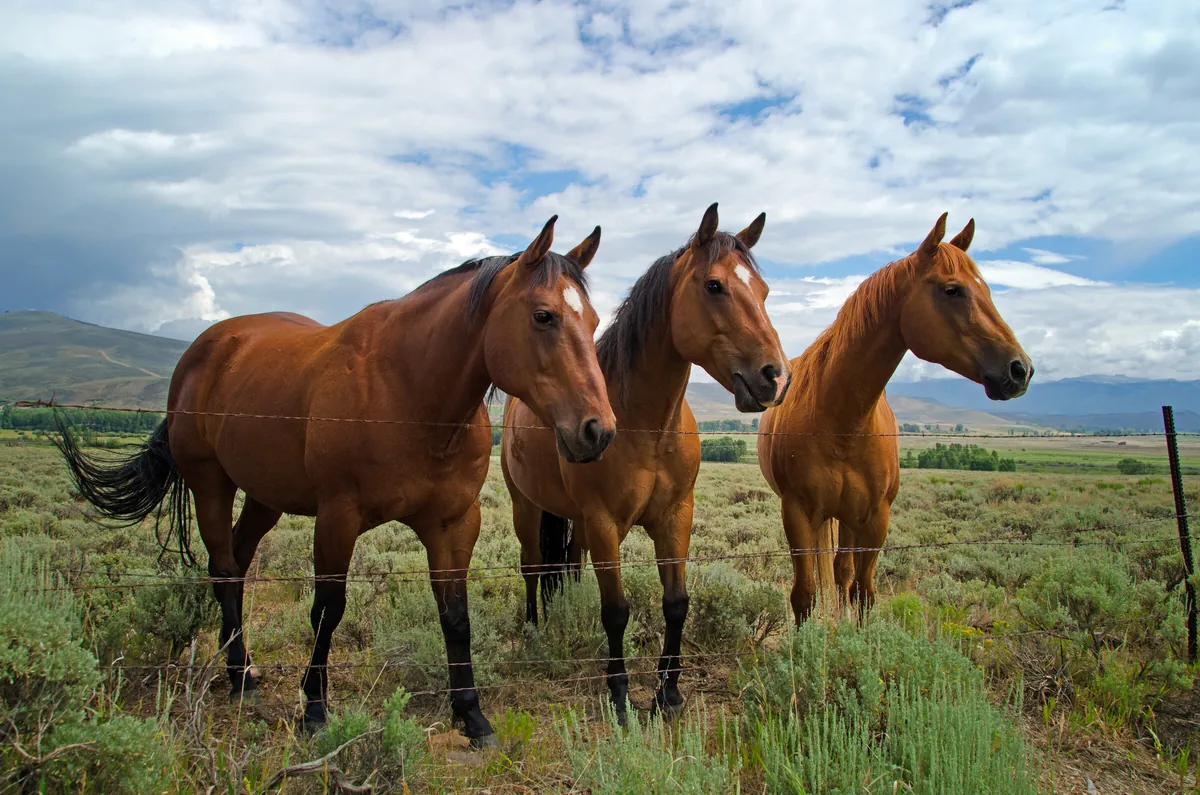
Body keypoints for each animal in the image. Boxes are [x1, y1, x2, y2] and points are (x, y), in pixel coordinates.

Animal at [54, 216, 617, 748]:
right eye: (543, 316)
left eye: (592, 321)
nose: (598, 430)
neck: (411, 392)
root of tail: (206, 347)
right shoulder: (337, 518)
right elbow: (328, 611)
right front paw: (315, 710)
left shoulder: (453, 523)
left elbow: (456, 616)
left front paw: (472, 715)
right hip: (210, 483)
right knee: (223, 569)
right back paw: (239, 677)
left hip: (265, 496)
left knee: (239, 560)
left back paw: (241, 663)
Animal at [500, 203, 790, 720]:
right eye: (713, 286)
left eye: (763, 290)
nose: (775, 377)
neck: (647, 428)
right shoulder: (604, 521)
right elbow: (616, 610)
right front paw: (619, 695)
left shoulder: (675, 516)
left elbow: (676, 602)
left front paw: (668, 692)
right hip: (525, 505)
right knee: (533, 567)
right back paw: (535, 630)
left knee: (569, 565)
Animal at [758, 213, 1034, 622]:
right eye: (952, 290)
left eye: (986, 289)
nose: (1020, 369)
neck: (844, 423)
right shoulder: (798, 514)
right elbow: (804, 595)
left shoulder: (875, 519)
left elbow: (862, 592)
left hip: (849, 519)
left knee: (842, 572)